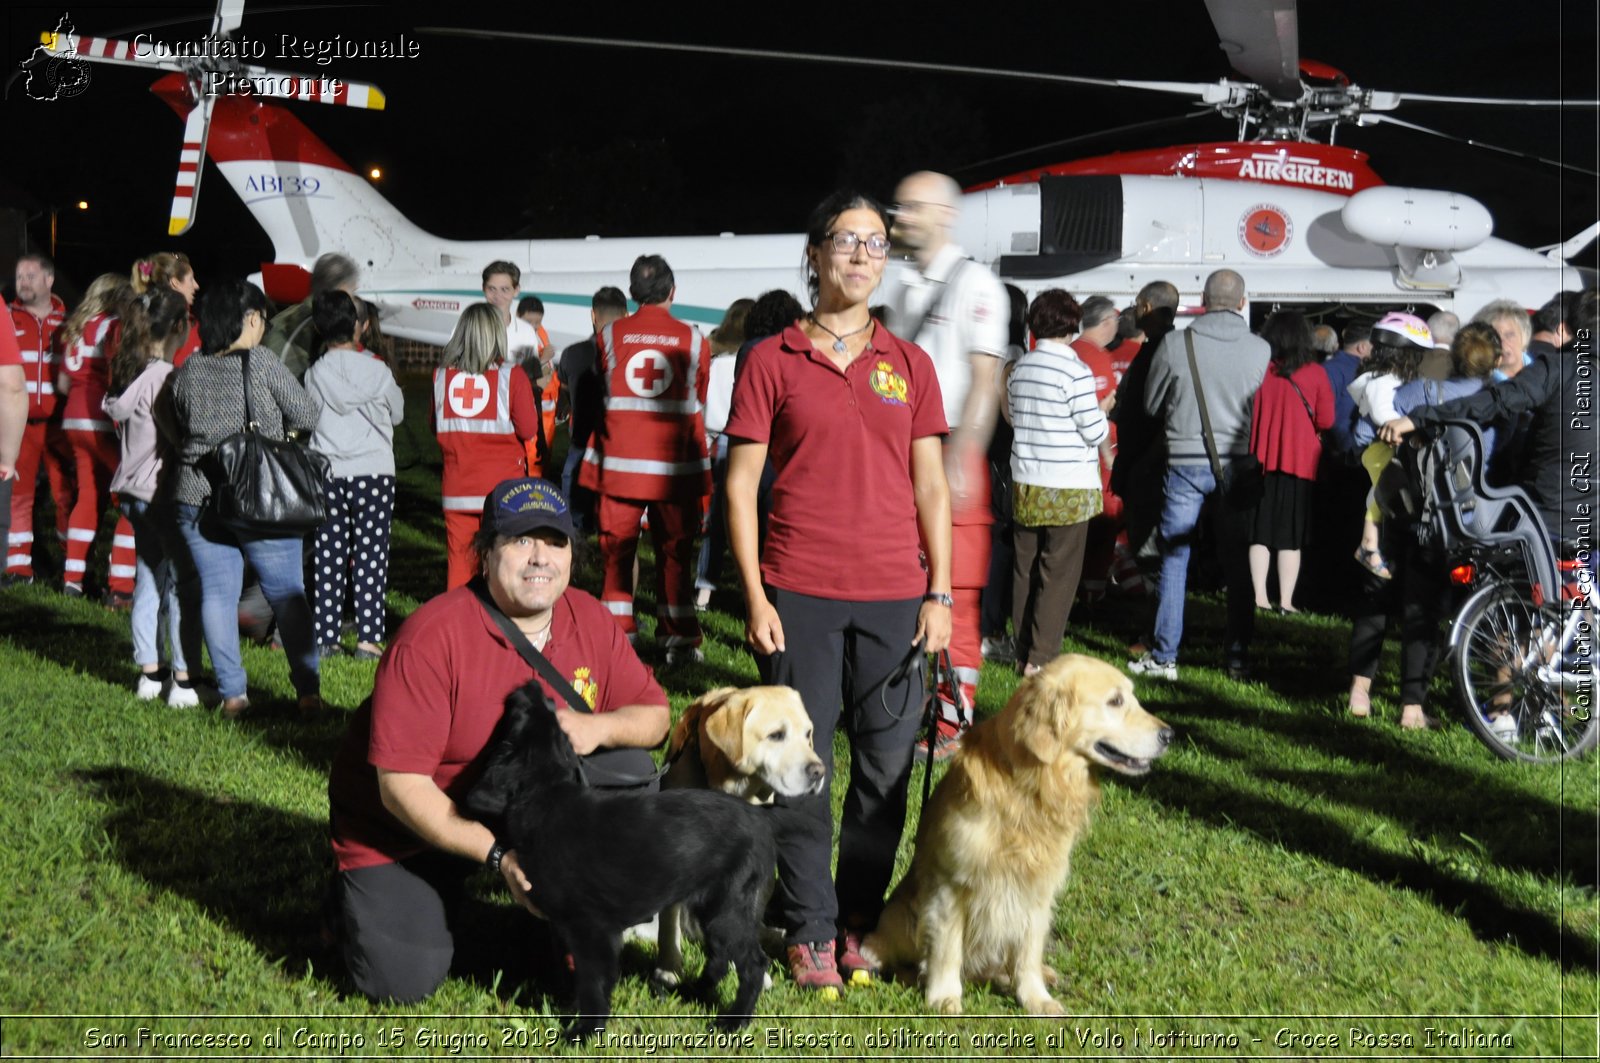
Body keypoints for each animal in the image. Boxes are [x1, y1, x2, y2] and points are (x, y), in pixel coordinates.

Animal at [460, 681, 777, 1037]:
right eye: (550, 711)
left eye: (522, 714)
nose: (531, 685)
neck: (547, 796)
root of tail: (762, 820)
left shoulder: (592, 929)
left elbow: (593, 983)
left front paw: (584, 1031)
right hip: (710, 908)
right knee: (721, 957)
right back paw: (692, 991)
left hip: (728, 908)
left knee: (753, 964)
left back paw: (732, 1021)